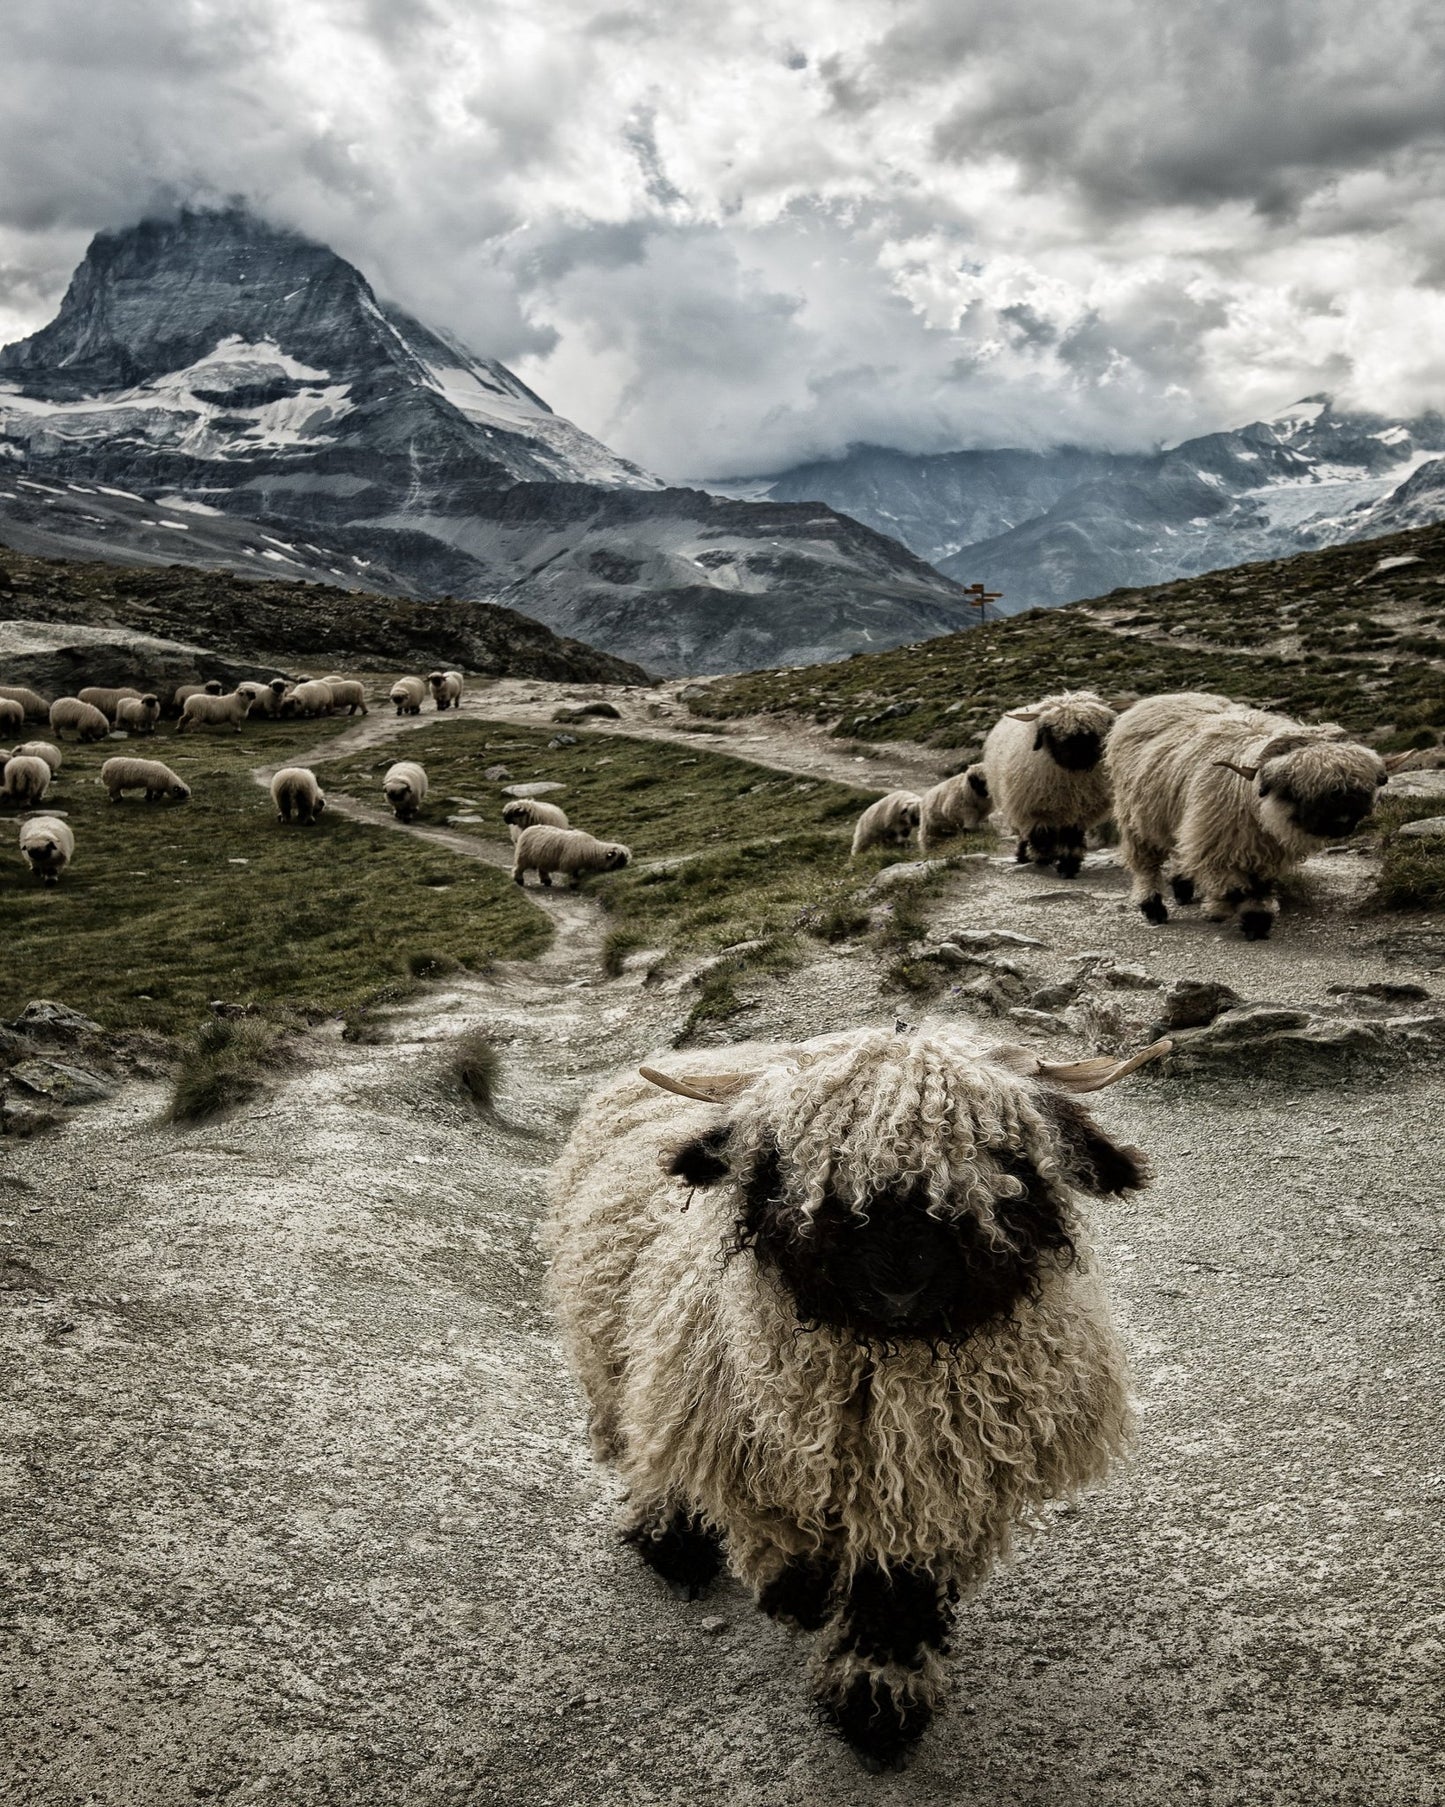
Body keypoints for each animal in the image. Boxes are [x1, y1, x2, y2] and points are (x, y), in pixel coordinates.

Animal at [548, 1022, 1168, 1770]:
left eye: (1008, 1157)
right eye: (792, 1162)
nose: (898, 1279)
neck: (890, 1376)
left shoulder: (933, 1488)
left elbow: (895, 1596)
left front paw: (878, 1706)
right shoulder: (759, 1444)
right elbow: (787, 1540)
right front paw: (800, 1597)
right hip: (630, 1358)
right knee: (654, 1442)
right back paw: (672, 1536)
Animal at [982, 691, 1116, 880]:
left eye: (1093, 732)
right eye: (1053, 731)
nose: (1079, 757)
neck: (1071, 779)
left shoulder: (1078, 814)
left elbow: (1071, 839)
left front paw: (1068, 866)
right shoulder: (1036, 809)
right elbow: (1042, 836)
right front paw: (1043, 859)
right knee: (1024, 834)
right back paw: (1023, 856)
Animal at [1106, 692, 1395, 939]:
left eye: (1359, 791)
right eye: (1299, 791)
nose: (1343, 823)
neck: (1255, 805)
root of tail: (1158, 698)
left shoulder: (1266, 852)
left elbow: (1259, 887)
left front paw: (1256, 923)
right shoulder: (1216, 844)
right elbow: (1234, 889)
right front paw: (1218, 909)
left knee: (1180, 852)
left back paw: (1182, 887)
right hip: (1137, 821)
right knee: (1146, 867)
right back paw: (1153, 907)